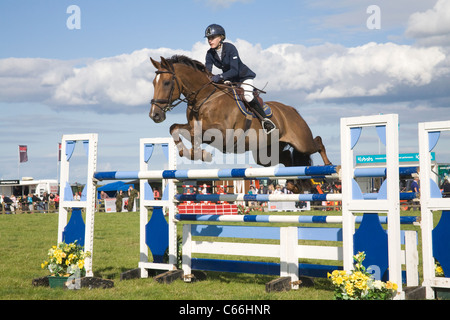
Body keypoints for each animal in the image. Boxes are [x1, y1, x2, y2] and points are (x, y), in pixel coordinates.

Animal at [149, 55, 332, 192]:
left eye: (166, 83)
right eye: (153, 83)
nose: (154, 115)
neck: (204, 97)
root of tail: (292, 110)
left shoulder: (222, 134)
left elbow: (196, 134)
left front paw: (202, 154)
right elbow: (175, 129)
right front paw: (191, 153)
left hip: (302, 142)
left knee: (318, 142)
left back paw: (329, 167)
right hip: (265, 154)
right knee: (286, 157)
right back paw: (293, 184)